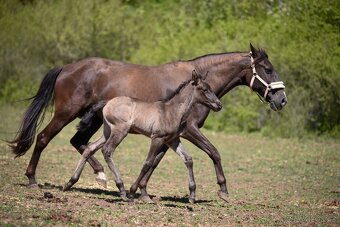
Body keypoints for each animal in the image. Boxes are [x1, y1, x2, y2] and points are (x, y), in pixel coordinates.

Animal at [9, 44, 286, 202]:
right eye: (267, 69)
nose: (281, 99)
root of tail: (67, 67)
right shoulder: (189, 130)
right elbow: (214, 153)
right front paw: (223, 190)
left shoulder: (170, 136)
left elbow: (154, 161)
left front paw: (141, 191)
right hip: (65, 114)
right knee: (44, 138)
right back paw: (33, 179)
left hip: (96, 121)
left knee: (80, 142)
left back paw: (100, 176)